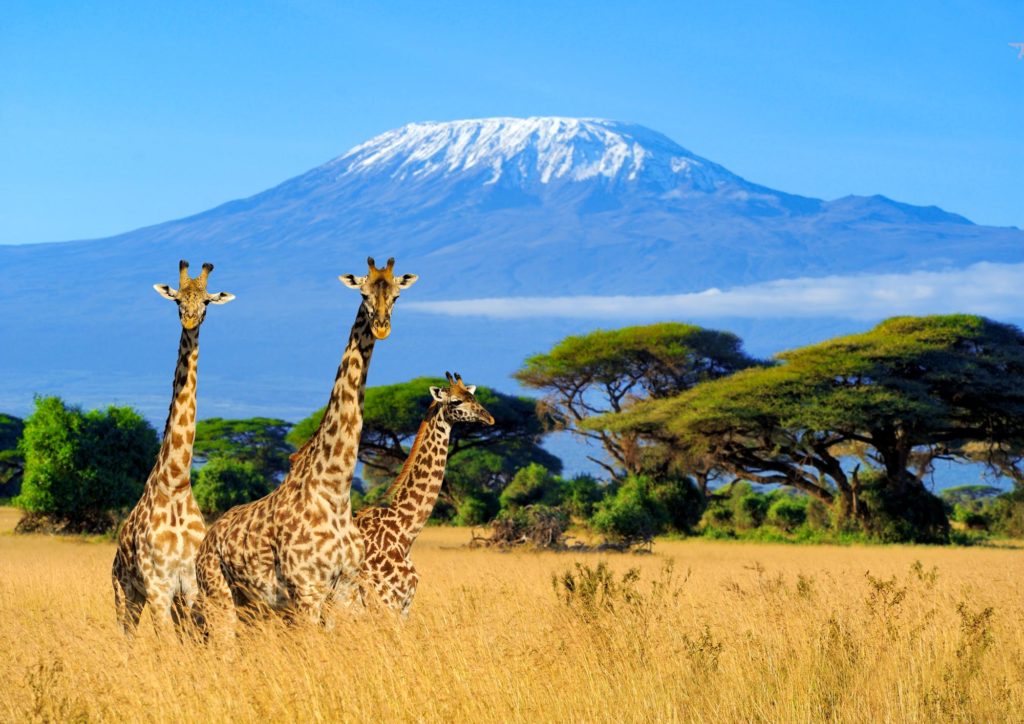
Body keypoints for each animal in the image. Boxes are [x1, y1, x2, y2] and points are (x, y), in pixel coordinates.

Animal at [111, 260, 235, 638]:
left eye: (207, 301)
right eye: (178, 299)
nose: (190, 320)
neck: (176, 483)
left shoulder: (190, 585)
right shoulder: (158, 586)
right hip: (124, 591)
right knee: (125, 635)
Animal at [195, 257, 417, 636]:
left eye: (397, 295)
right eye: (363, 293)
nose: (382, 327)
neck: (335, 490)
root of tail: (205, 543)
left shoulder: (344, 588)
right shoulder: (307, 590)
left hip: (252, 605)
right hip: (218, 595)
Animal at [352, 372, 494, 616]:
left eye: (473, 396)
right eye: (456, 401)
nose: (489, 418)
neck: (405, 532)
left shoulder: (403, 606)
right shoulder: (386, 603)